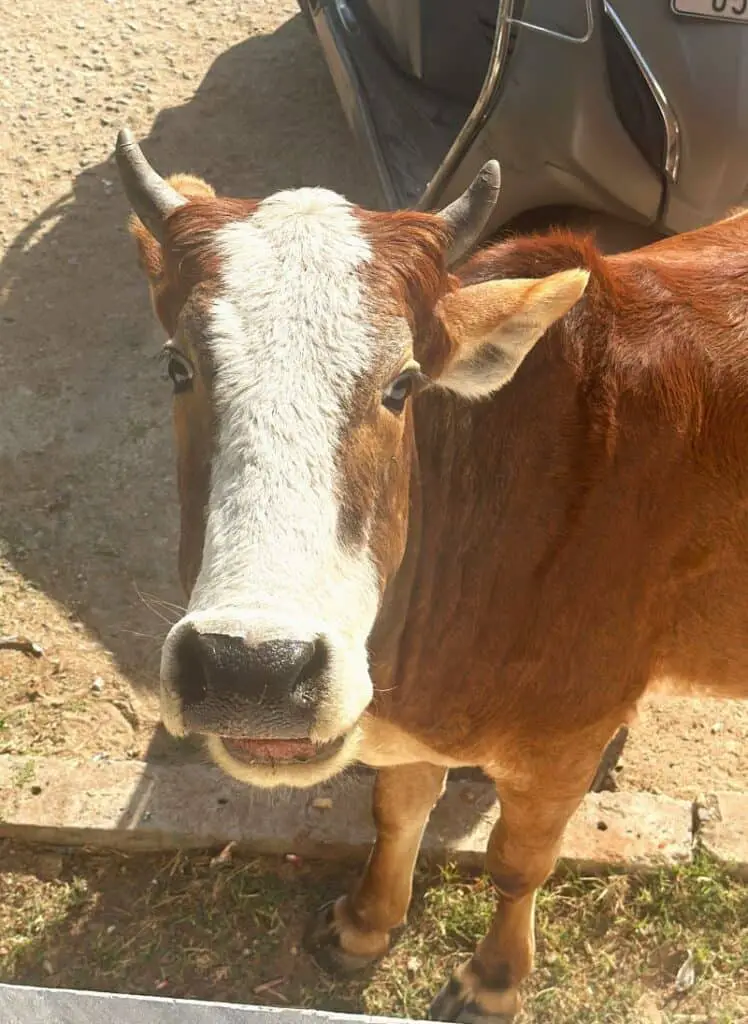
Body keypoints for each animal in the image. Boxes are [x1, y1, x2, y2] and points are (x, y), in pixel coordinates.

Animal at [115, 130, 745, 1024]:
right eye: (177, 367)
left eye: (403, 383)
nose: (253, 669)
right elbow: (397, 811)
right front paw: (367, 923)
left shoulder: (565, 742)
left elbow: (519, 862)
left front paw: (494, 979)